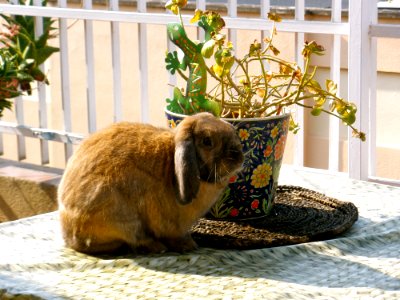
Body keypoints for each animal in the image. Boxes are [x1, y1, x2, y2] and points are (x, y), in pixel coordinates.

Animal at [57, 112, 242, 253]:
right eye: (207, 141)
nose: (238, 156)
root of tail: (70, 234)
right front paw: (189, 245)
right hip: (119, 213)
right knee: (135, 238)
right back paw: (157, 246)